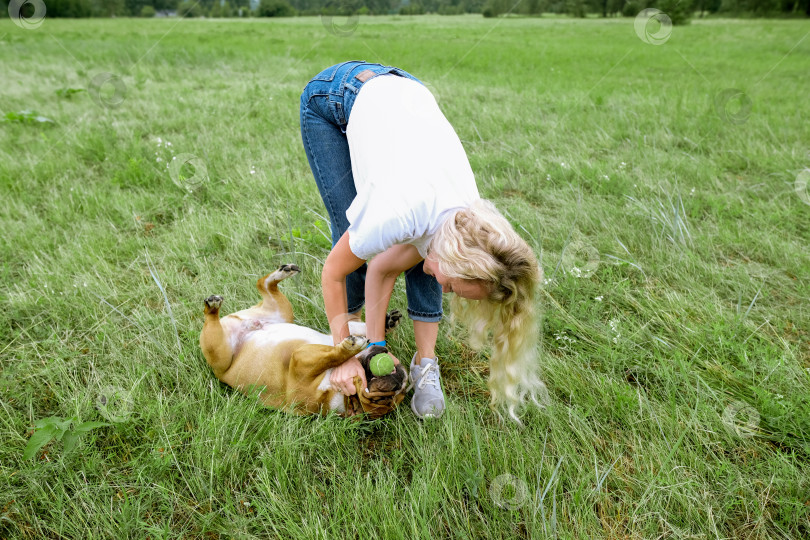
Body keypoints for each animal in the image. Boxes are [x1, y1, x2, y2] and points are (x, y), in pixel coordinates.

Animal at [199, 264, 408, 420]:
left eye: (382, 401)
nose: (400, 379)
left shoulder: (301, 361)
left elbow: (332, 355)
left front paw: (352, 345)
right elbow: (346, 336)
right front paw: (386, 323)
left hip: (219, 350)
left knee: (220, 313)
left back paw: (213, 307)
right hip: (282, 311)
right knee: (263, 284)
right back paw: (282, 273)